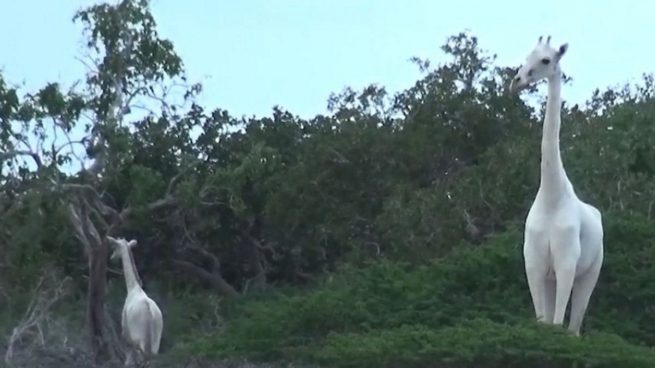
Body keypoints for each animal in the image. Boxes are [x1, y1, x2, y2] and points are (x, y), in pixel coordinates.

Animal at [107, 236, 164, 366]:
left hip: (139, 339)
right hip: (155, 342)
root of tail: (149, 312)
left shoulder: (126, 335)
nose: (111, 258)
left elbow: (128, 361)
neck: (133, 287)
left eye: (114, 247)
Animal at [512, 36, 604, 334]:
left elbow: (557, 324)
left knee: (574, 328)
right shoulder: (534, 264)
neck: (551, 197)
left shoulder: (566, 264)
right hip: (551, 277)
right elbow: (543, 322)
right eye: (527, 54)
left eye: (546, 60)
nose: (516, 82)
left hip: (590, 273)